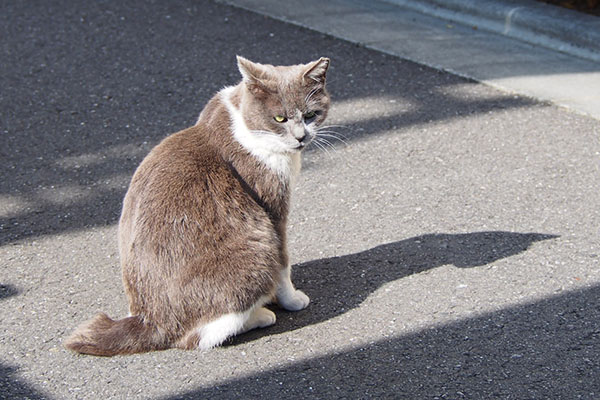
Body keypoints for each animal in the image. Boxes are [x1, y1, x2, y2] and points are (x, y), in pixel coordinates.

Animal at [64, 56, 332, 356]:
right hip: (257, 252)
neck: (244, 125)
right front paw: (292, 299)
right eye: (279, 118)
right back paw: (260, 316)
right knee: (197, 338)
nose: (301, 137)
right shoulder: (273, 209)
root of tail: (148, 320)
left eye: (310, 115)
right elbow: (284, 263)